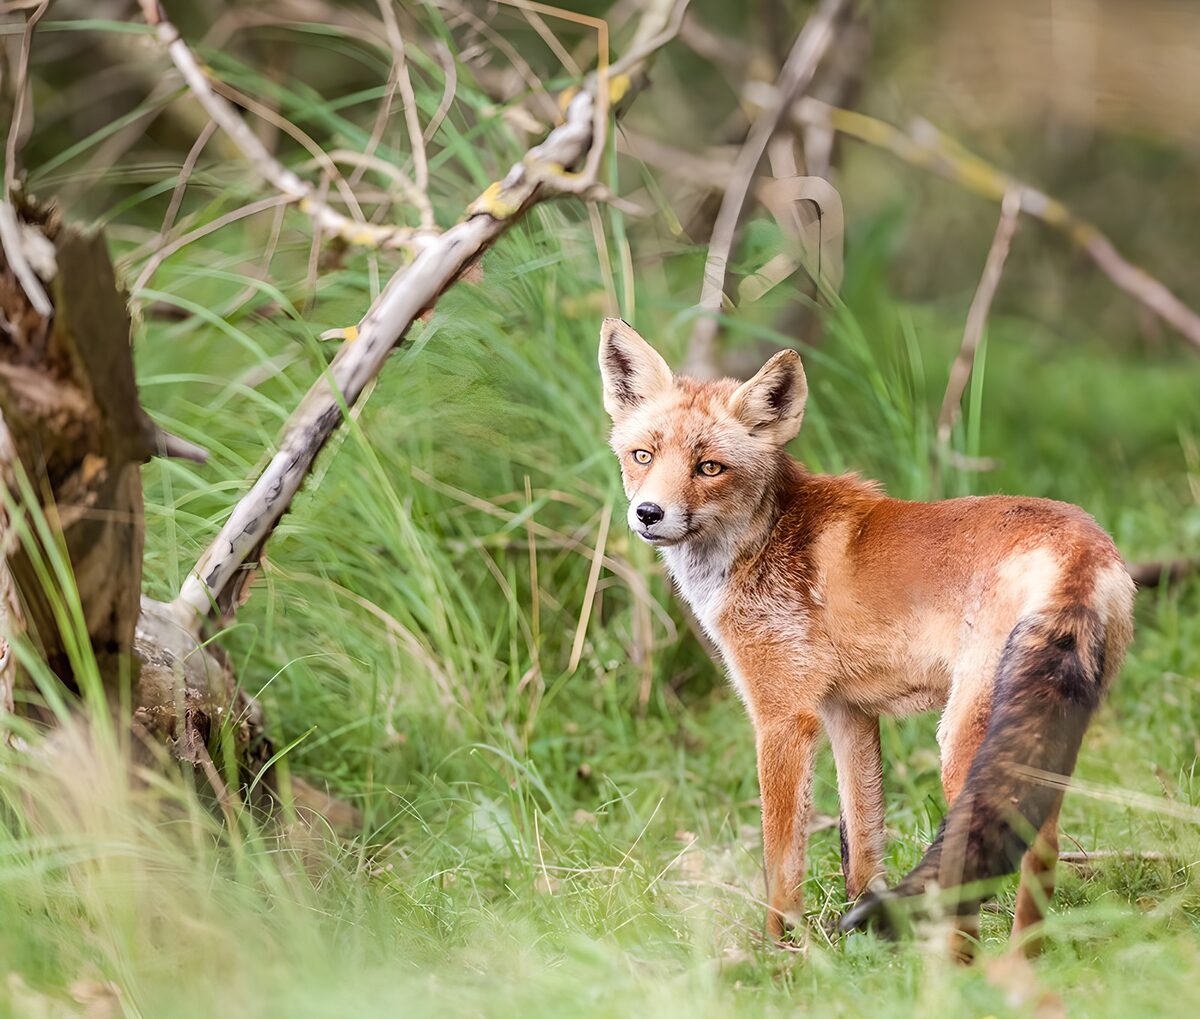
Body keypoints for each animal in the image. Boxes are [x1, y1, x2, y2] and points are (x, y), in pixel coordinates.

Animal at [598, 317, 1135, 955]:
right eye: (642, 456)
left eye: (709, 468)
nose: (648, 514)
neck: (759, 543)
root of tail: (1083, 544)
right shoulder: (846, 711)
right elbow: (861, 843)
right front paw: (859, 939)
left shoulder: (783, 716)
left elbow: (782, 861)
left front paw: (779, 950)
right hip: (1043, 729)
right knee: (1039, 847)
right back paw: (1020, 959)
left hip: (962, 737)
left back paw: (964, 965)